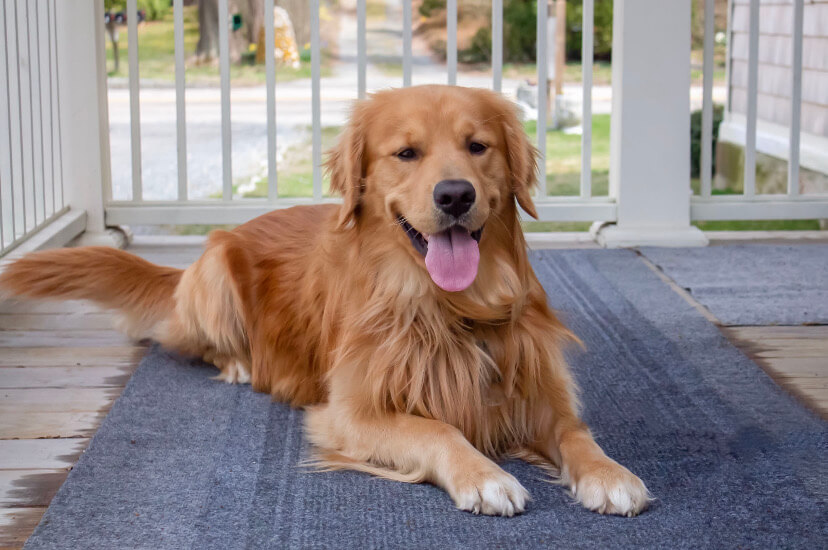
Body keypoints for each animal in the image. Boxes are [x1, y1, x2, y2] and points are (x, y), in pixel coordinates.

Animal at [0, 85, 648, 516]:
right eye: (406, 153)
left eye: (478, 146)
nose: (455, 195)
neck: (451, 307)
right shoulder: (349, 411)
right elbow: (438, 430)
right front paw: (483, 474)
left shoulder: (540, 389)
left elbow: (575, 432)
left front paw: (610, 472)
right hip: (214, 276)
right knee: (192, 342)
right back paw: (239, 363)